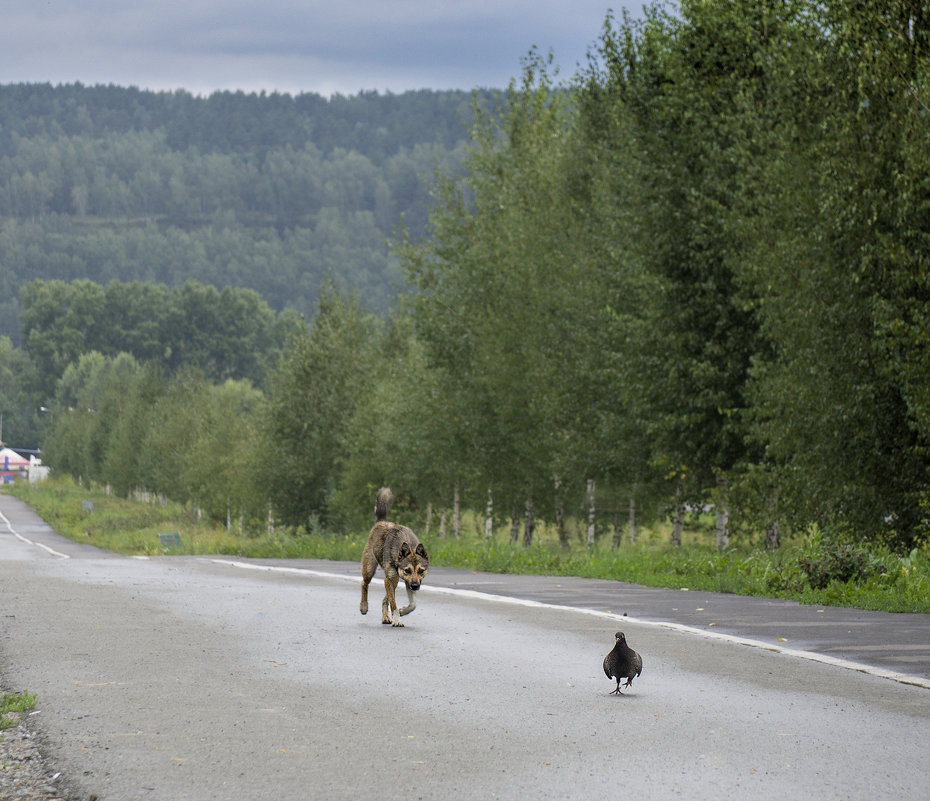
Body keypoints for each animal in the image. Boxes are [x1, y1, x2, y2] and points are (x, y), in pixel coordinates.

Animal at [358, 484, 430, 628]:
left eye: (421, 570)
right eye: (407, 570)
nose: (415, 586)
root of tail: (381, 521)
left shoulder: (407, 582)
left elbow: (413, 604)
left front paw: (402, 611)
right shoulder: (390, 579)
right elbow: (393, 603)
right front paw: (397, 619)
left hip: (394, 581)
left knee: (384, 598)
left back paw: (386, 617)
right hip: (370, 569)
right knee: (364, 583)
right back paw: (364, 606)